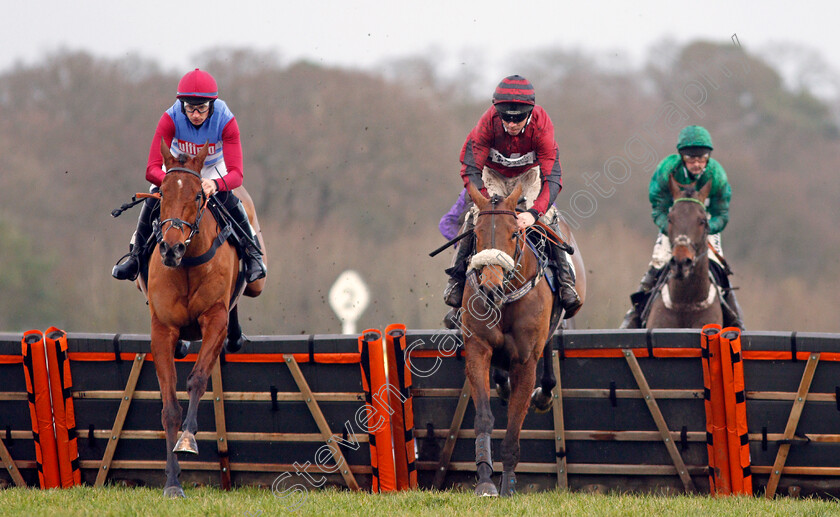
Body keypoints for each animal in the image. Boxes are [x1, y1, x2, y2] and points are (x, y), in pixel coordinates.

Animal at [144, 140, 262, 496]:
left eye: (198, 195)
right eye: (162, 193)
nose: (170, 248)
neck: (188, 262)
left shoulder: (215, 320)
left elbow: (197, 379)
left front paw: (187, 439)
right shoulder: (162, 329)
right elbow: (169, 406)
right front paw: (172, 482)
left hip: (253, 287)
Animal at [460, 179, 584, 494]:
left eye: (514, 233)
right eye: (476, 234)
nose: (490, 288)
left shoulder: (526, 361)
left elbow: (514, 428)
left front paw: (508, 487)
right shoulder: (477, 348)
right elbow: (483, 418)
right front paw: (485, 481)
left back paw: (544, 393)